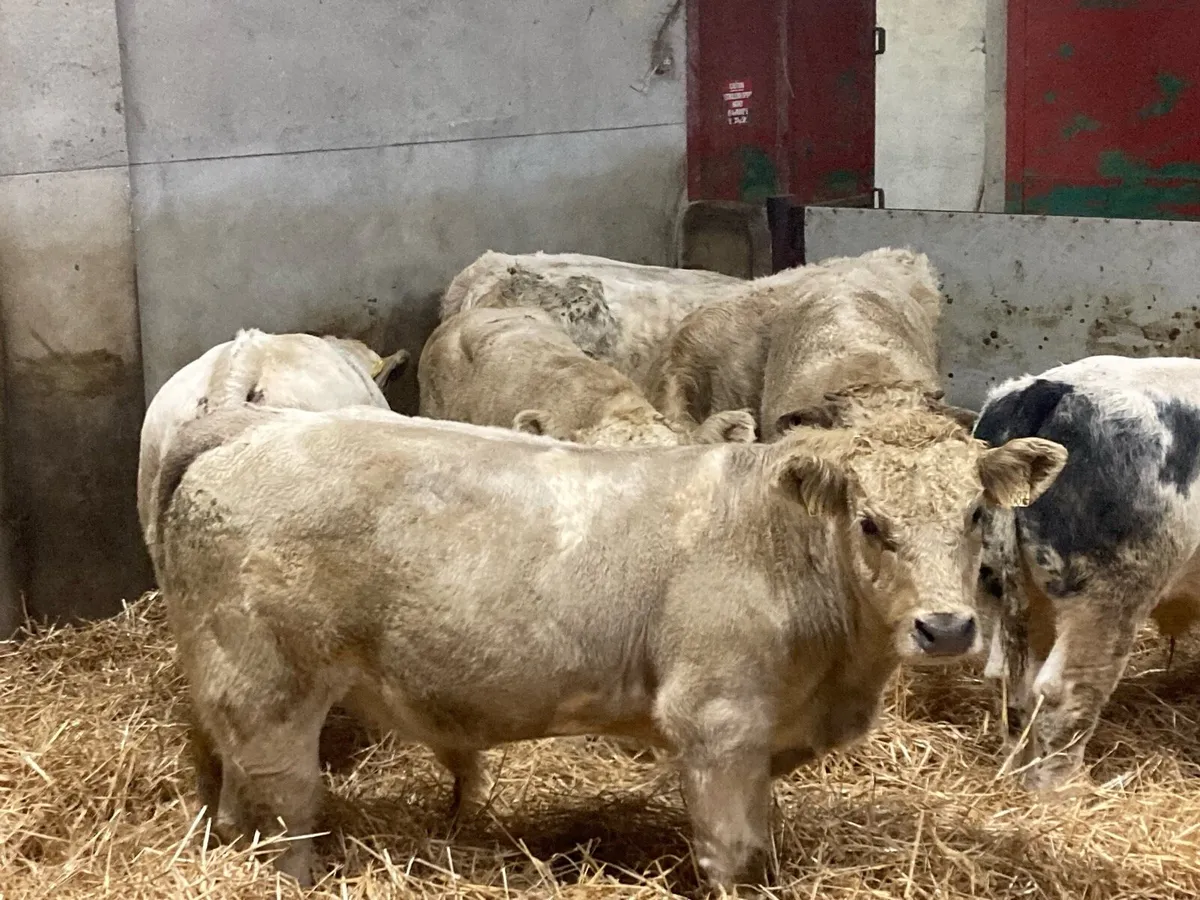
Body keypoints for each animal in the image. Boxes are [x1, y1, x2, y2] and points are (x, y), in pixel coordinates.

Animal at [152, 397, 1066, 891]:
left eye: (974, 514)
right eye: (871, 524)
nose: (946, 628)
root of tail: (252, 429)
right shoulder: (717, 723)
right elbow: (732, 854)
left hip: (234, 695)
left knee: (234, 802)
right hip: (268, 690)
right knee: (287, 816)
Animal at [974, 355, 1200, 793]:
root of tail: (1048, 388)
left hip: (1008, 581)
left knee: (1009, 678)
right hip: (1112, 589)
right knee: (1065, 690)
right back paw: (1069, 793)